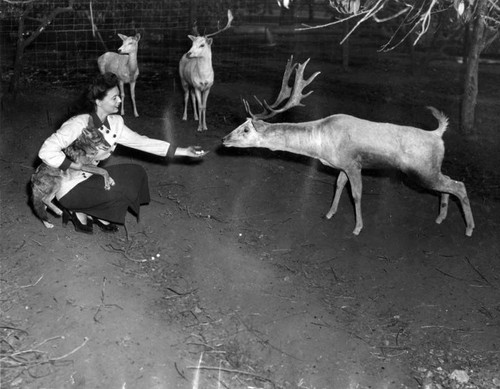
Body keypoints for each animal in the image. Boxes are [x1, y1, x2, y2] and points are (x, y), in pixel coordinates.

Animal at [221, 56, 474, 235]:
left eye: (245, 129)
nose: (224, 139)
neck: (320, 144)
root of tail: (438, 133)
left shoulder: (354, 164)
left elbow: (356, 194)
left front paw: (357, 228)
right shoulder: (341, 166)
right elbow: (338, 186)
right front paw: (329, 214)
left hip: (421, 171)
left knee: (459, 185)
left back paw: (469, 228)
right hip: (430, 169)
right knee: (449, 183)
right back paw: (440, 217)